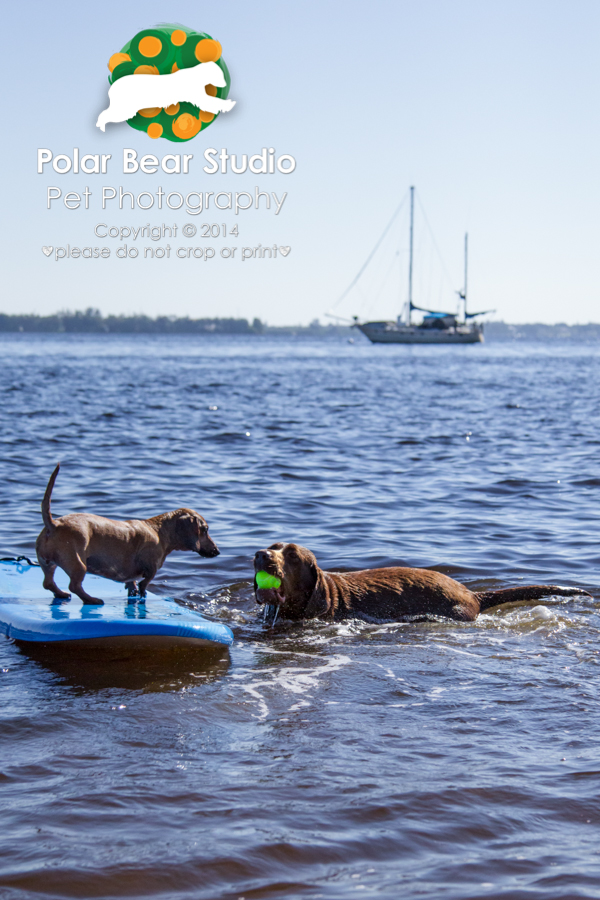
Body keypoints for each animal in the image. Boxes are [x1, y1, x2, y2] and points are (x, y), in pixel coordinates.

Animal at [35, 464, 219, 604]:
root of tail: (54, 524)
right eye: (205, 530)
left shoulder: (132, 576)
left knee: (48, 583)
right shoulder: (151, 569)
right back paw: (92, 599)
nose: (217, 551)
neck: (159, 531)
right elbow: (145, 583)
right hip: (79, 564)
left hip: (47, 563)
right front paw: (142, 593)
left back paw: (61, 594)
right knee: (74, 586)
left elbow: (132, 584)